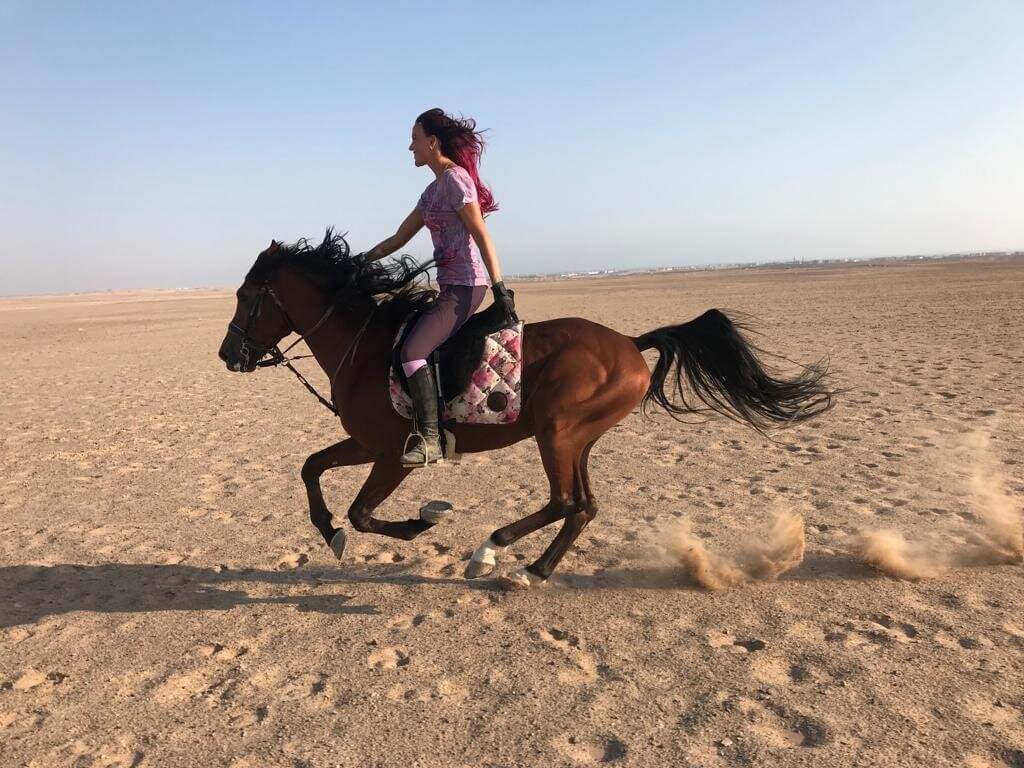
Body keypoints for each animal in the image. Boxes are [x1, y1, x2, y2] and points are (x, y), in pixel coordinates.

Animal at [218, 230, 836, 589]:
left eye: (246, 297)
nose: (228, 355)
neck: (366, 347)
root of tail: (631, 343)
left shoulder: (395, 455)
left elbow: (363, 512)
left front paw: (420, 522)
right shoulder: (366, 444)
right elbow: (312, 469)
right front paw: (330, 533)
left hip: (557, 433)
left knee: (564, 501)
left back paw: (489, 554)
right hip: (575, 437)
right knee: (584, 506)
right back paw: (536, 569)